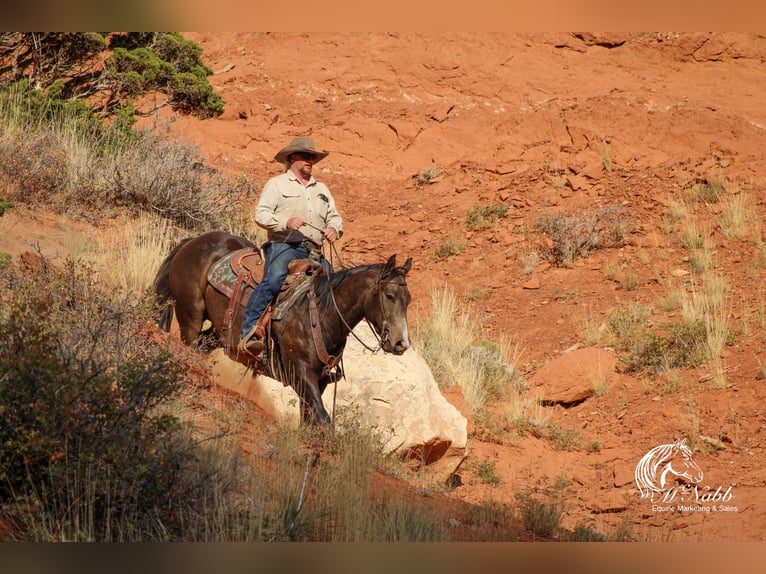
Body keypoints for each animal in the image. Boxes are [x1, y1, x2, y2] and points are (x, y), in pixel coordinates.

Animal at [152, 231, 414, 428]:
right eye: (390, 296)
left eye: (408, 299)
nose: (401, 343)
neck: (320, 313)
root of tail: (193, 241)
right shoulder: (300, 373)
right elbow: (324, 420)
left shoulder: (319, 381)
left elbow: (310, 421)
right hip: (191, 316)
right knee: (188, 348)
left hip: (218, 333)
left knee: (201, 347)